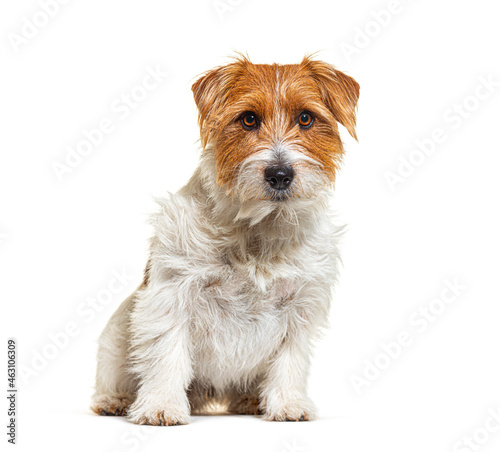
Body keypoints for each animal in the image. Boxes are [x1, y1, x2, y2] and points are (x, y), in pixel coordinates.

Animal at [90, 54, 360, 426]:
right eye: (248, 119)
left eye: (306, 118)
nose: (280, 175)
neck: (259, 230)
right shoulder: (172, 296)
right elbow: (166, 355)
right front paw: (161, 405)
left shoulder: (300, 306)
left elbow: (290, 360)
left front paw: (287, 404)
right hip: (116, 335)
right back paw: (114, 400)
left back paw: (250, 400)